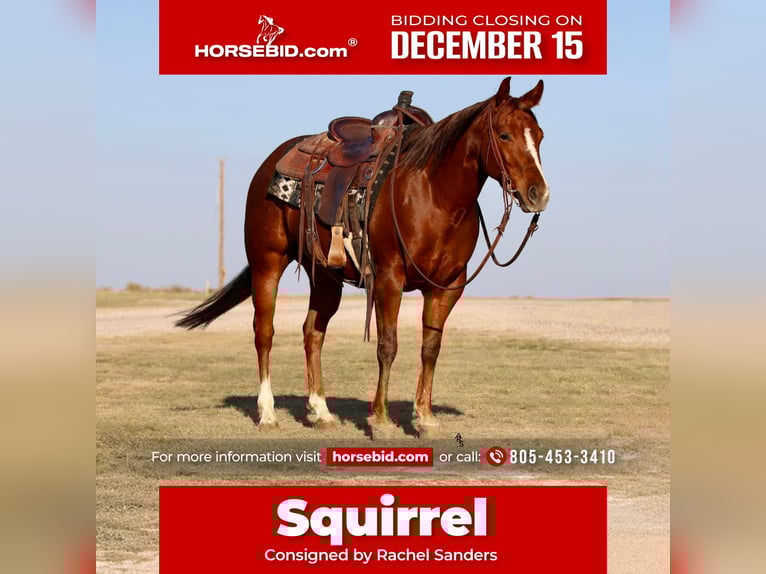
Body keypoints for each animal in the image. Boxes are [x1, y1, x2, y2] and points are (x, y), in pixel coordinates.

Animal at [175, 77, 549, 438]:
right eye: (504, 134)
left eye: (540, 136)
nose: (538, 194)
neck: (435, 195)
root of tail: (271, 163)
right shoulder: (389, 279)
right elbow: (387, 345)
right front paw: (381, 421)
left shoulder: (447, 286)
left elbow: (430, 348)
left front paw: (424, 418)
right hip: (267, 262)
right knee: (264, 332)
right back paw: (267, 414)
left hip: (325, 277)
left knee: (312, 332)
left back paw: (321, 412)